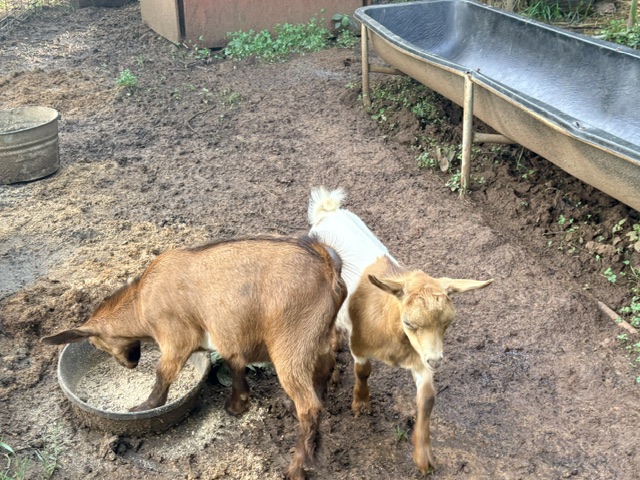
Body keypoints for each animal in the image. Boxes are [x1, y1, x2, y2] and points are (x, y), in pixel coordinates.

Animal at [42, 235, 346, 480]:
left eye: (96, 344)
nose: (130, 364)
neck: (141, 302)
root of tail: (326, 265)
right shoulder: (229, 334)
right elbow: (235, 365)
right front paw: (237, 406)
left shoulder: (177, 337)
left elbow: (163, 373)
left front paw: (144, 407)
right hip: (317, 337)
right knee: (325, 370)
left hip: (289, 342)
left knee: (309, 406)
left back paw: (296, 468)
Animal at [308, 187, 492, 474]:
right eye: (408, 322)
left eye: (448, 323)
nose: (436, 360)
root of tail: (328, 211)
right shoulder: (360, 343)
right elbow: (363, 371)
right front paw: (361, 404)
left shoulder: (419, 355)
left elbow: (427, 398)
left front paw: (424, 458)